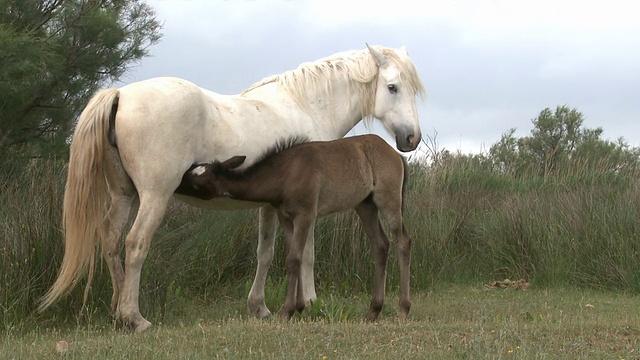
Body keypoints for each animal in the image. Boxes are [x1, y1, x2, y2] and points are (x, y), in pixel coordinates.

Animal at [36, 43, 424, 332]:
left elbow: (266, 253)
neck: (306, 105)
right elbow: (307, 252)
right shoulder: (304, 209)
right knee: (135, 244)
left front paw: (260, 308)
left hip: (124, 195)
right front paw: (309, 303)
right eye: (392, 87)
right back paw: (136, 318)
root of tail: (121, 95)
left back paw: (119, 311)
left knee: (112, 240)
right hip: (153, 197)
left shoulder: (271, 205)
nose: (411, 139)